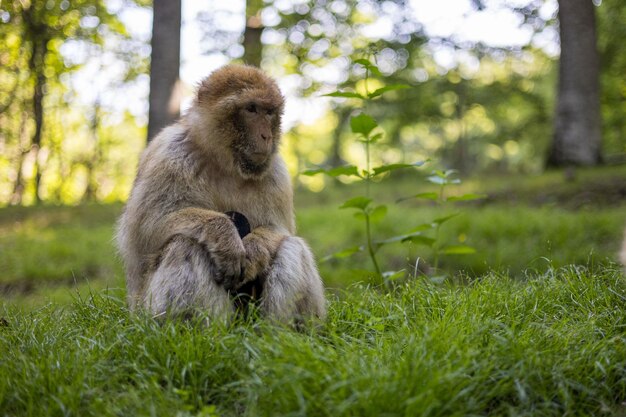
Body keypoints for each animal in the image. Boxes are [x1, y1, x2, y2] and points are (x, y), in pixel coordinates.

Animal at [114, 65, 324, 324]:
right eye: (251, 109)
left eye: (269, 112)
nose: (266, 136)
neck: (224, 162)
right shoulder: (168, 155)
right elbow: (143, 231)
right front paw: (224, 235)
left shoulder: (276, 172)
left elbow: (278, 228)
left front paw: (253, 250)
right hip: (145, 310)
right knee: (184, 244)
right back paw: (203, 329)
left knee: (291, 245)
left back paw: (276, 330)